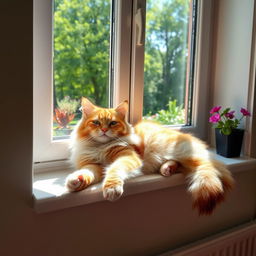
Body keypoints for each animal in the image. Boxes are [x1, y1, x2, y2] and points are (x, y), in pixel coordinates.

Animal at [66, 97, 234, 215]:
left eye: (113, 123)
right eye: (96, 122)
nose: (104, 130)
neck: (100, 147)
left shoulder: (127, 157)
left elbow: (114, 170)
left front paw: (112, 188)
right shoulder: (92, 164)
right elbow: (87, 173)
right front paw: (76, 181)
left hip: (181, 153)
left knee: (205, 166)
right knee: (177, 164)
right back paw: (167, 169)